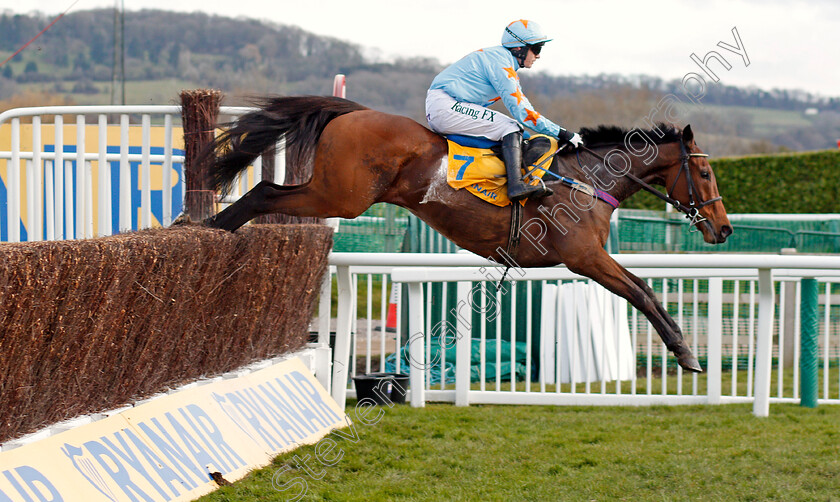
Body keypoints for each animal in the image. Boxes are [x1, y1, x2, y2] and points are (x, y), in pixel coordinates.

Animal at [200, 95, 732, 372]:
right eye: (706, 175)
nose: (724, 229)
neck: (588, 180)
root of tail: (352, 111)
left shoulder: (590, 258)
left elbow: (643, 289)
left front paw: (685, 351)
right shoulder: (584, 257)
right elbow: (641, 291)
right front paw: (686, 354)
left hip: (332, 192)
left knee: (266, 190)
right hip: (340, 198)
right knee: (264, 192)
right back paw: (208, 230)